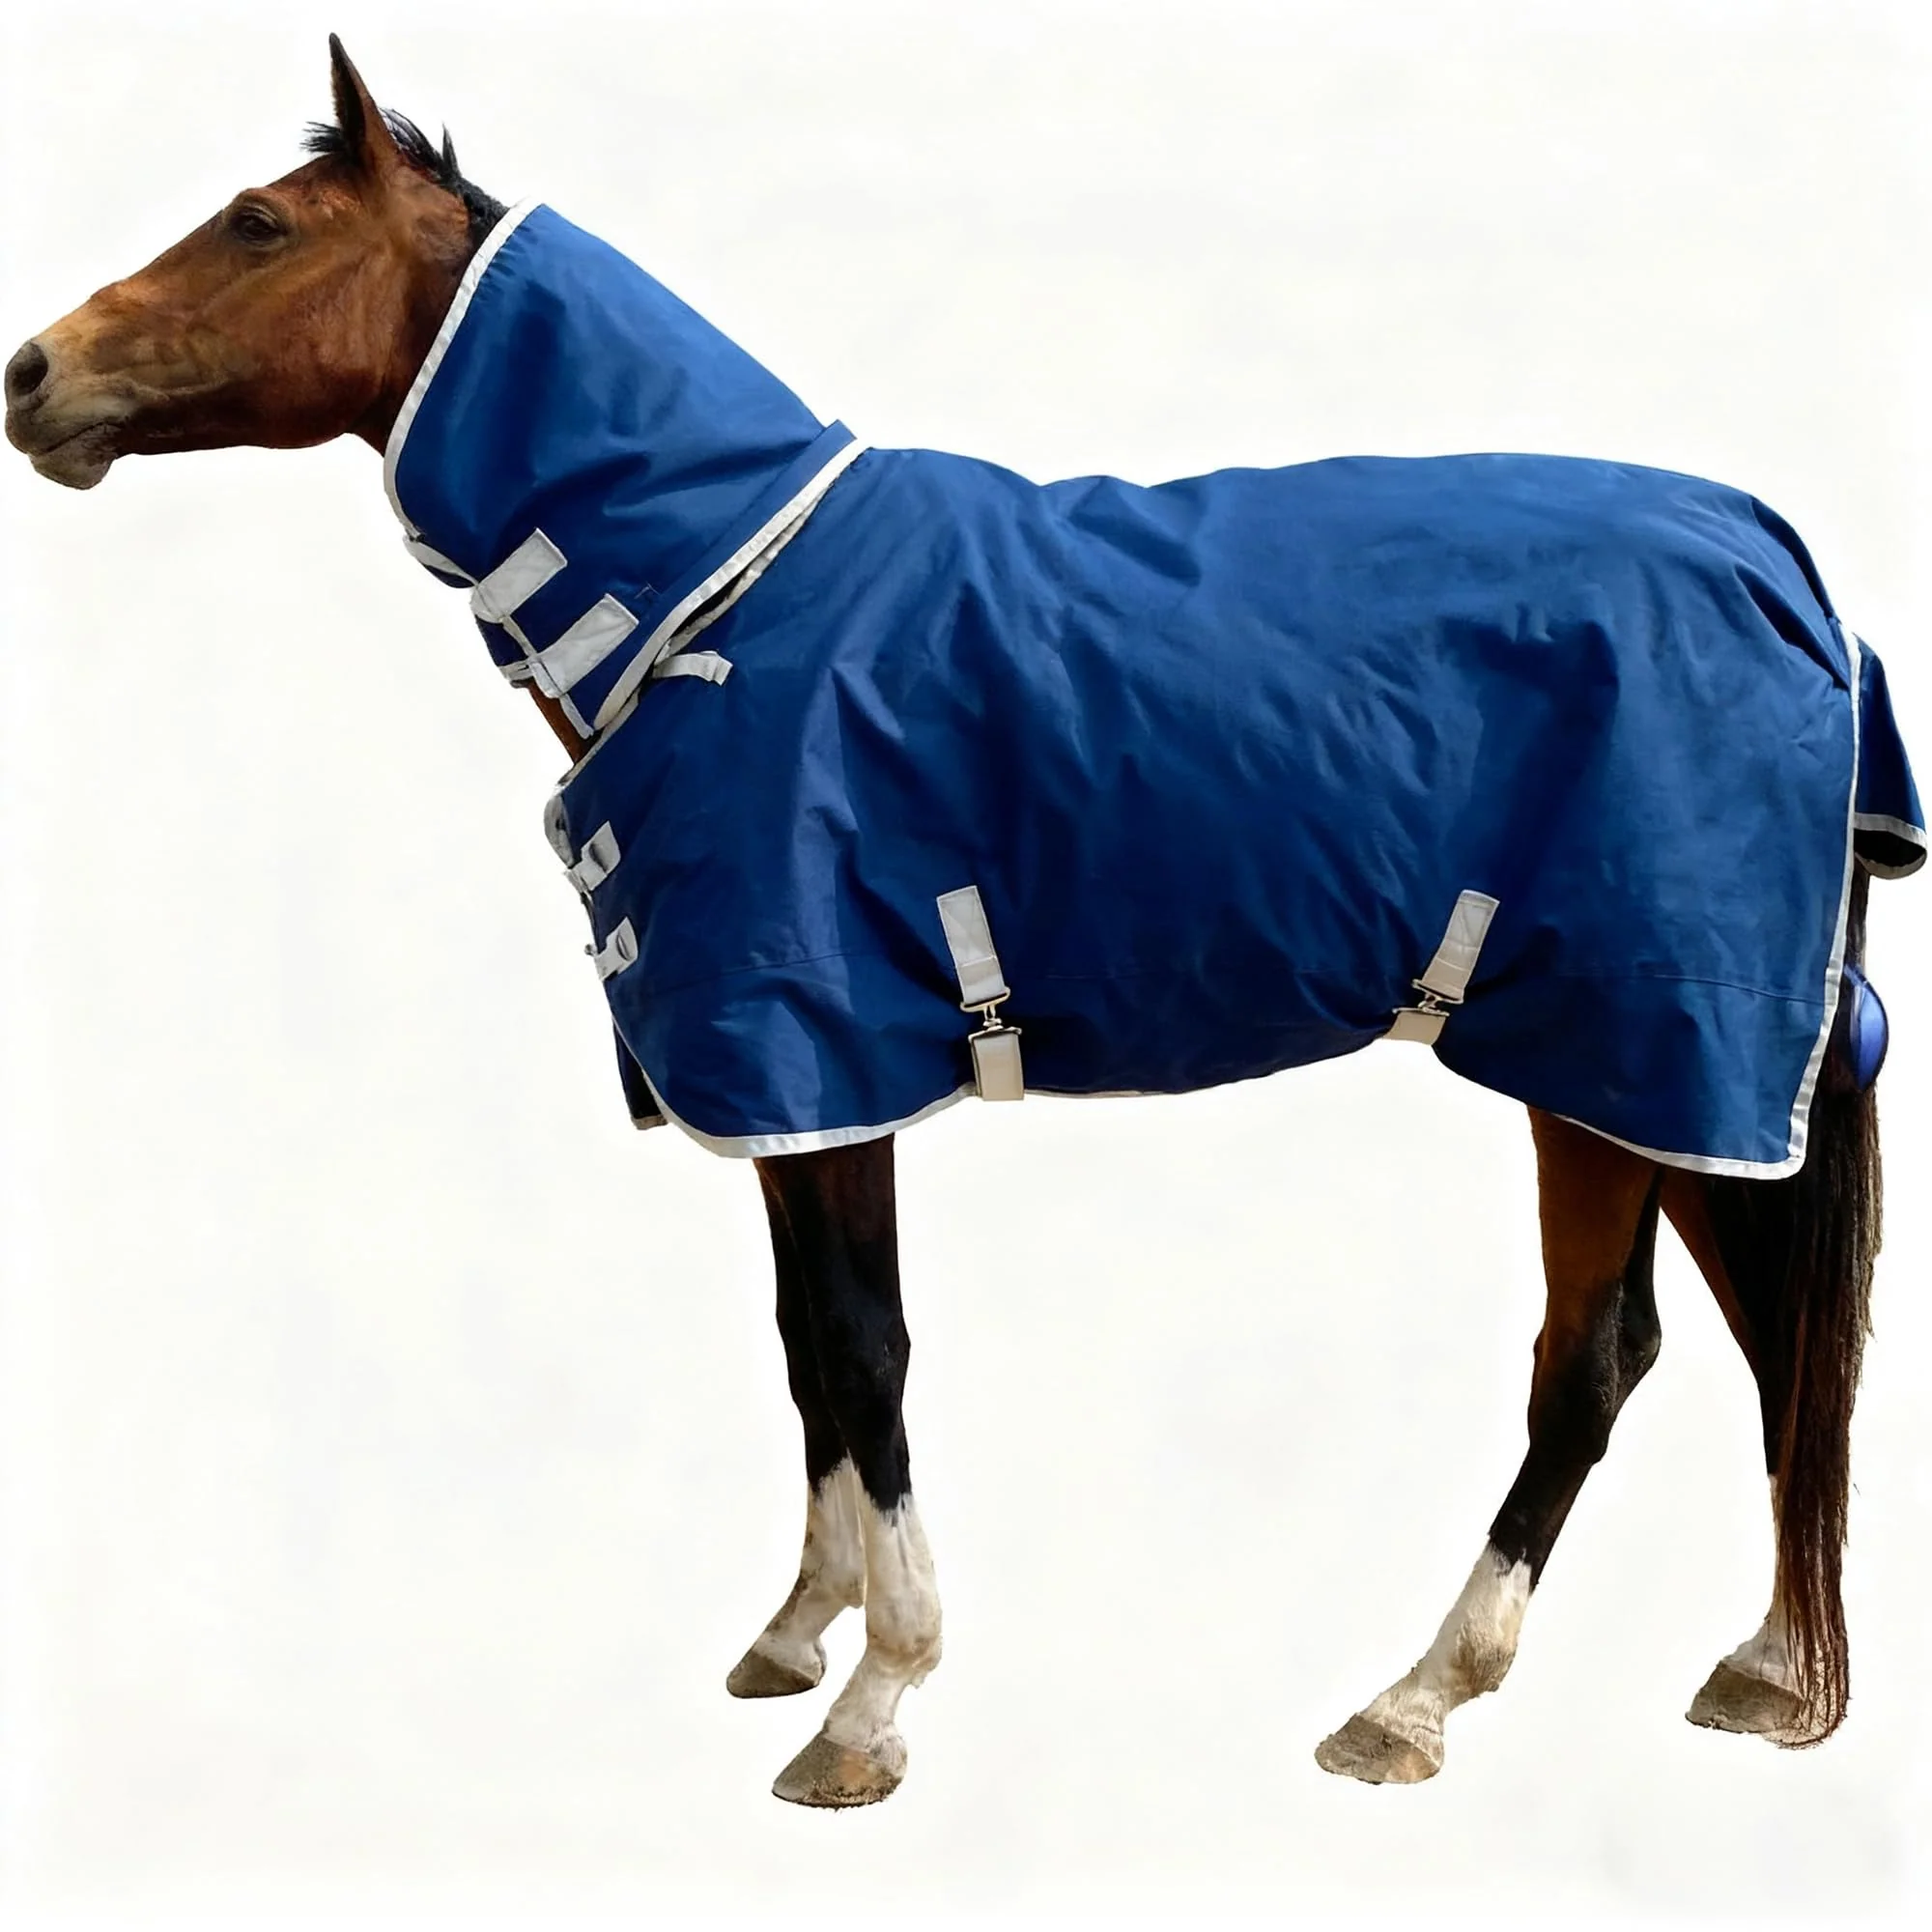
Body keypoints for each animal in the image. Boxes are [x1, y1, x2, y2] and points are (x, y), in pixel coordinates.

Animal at [5, 39, 1919, 1809]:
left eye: (259, 224)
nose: (34, 375)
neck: (727, 591)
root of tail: (1782, 567)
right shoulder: (782, 1091)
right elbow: (805, 1351)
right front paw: (800, 1628)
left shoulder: (819, 1048)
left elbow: (868, 1352)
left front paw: (875, 1700)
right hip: (1681, 1071)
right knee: (1770, 1335)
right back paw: (1768, 1668)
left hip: (1623, 1047)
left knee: (1595, 1359)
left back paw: (1415, 1700)